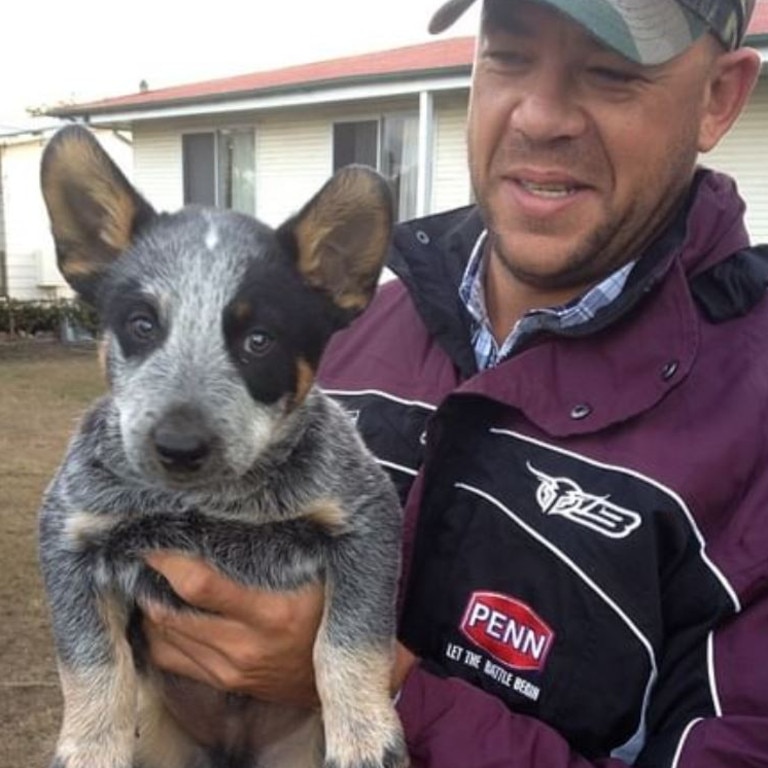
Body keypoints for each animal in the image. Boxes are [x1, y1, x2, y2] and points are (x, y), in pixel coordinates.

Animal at [36, 126, 408, 768]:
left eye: (259, 340)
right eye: (141, 324)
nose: (179, 444)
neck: (211, 506)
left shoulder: (367, 519)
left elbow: (348, 639)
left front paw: (366, 739)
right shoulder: (70, 534)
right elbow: (93, 664)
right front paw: (89, 748)